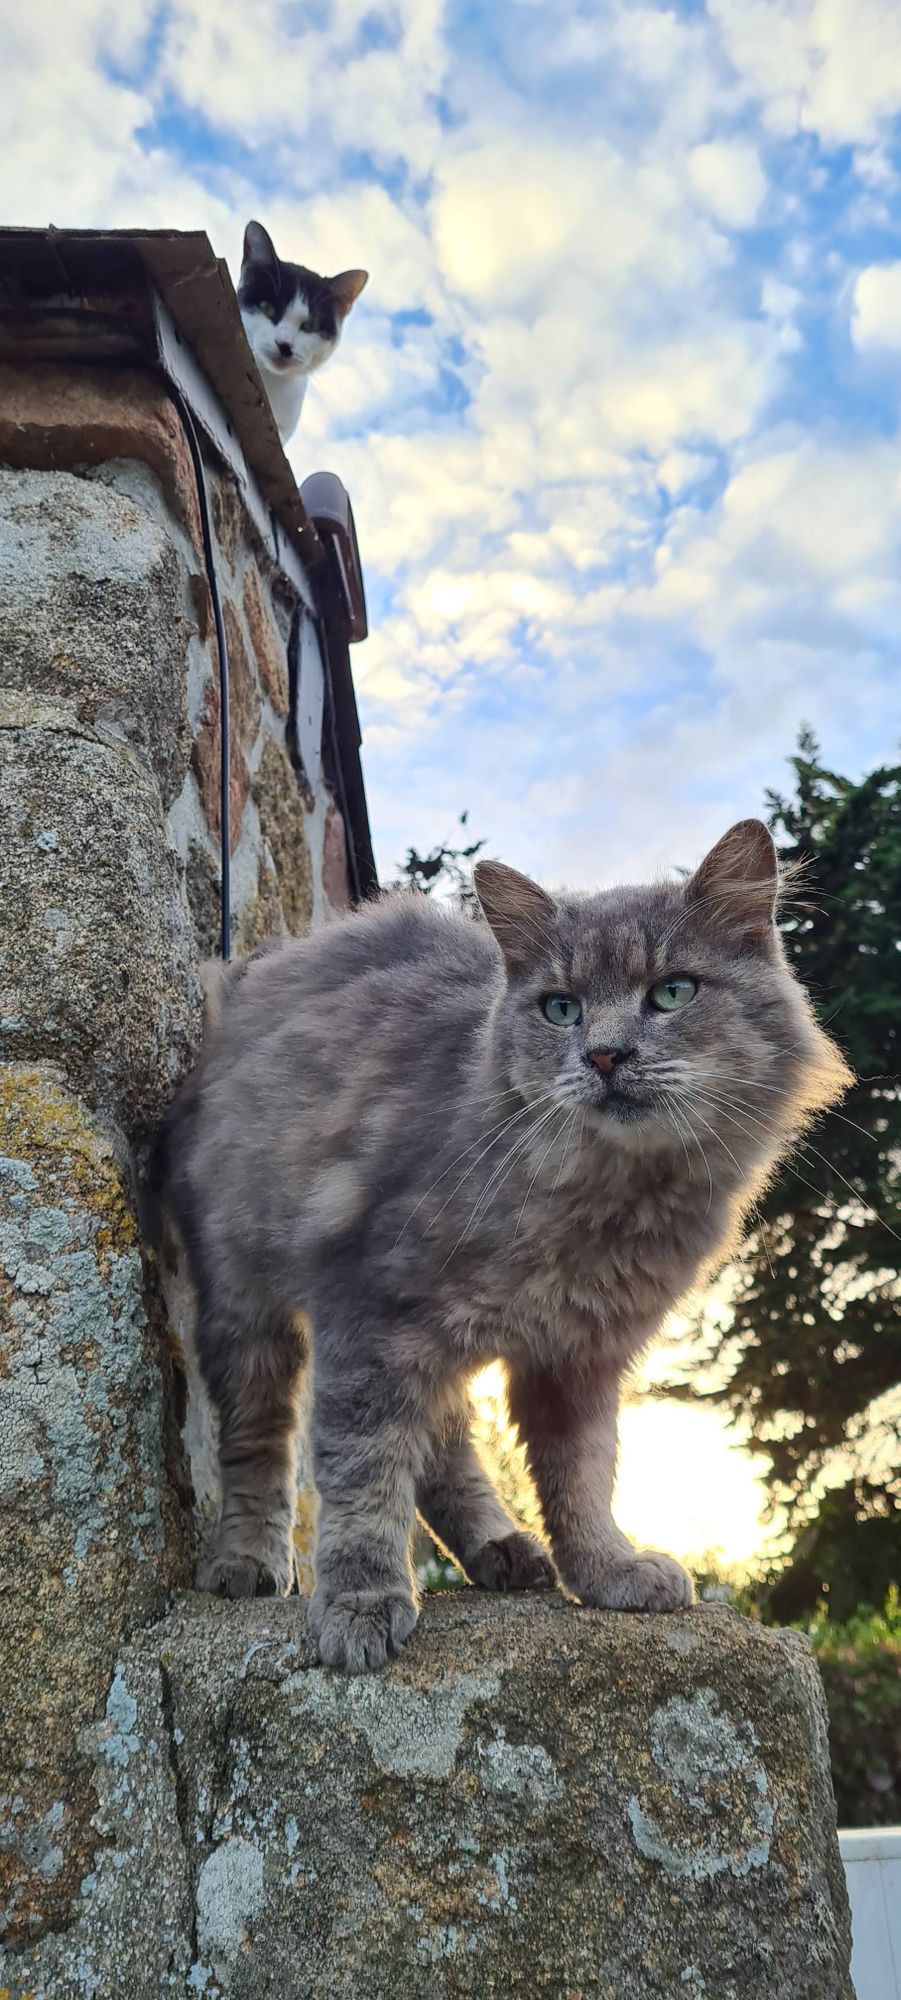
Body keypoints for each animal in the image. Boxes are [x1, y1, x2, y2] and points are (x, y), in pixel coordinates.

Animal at [160, 816, 852, 1672]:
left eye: (672, 992)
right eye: (559, 1008)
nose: (604, 1054)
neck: (604, 1197)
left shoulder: (577, 1357)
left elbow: (581, 1478)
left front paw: (604, 1570)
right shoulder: (371, 1316)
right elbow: (362, 1476)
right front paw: (360, 1602)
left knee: (446, 1446)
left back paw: (502, 1549)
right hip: (246, 1305)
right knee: (258, 1443)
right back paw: (250, 1560)